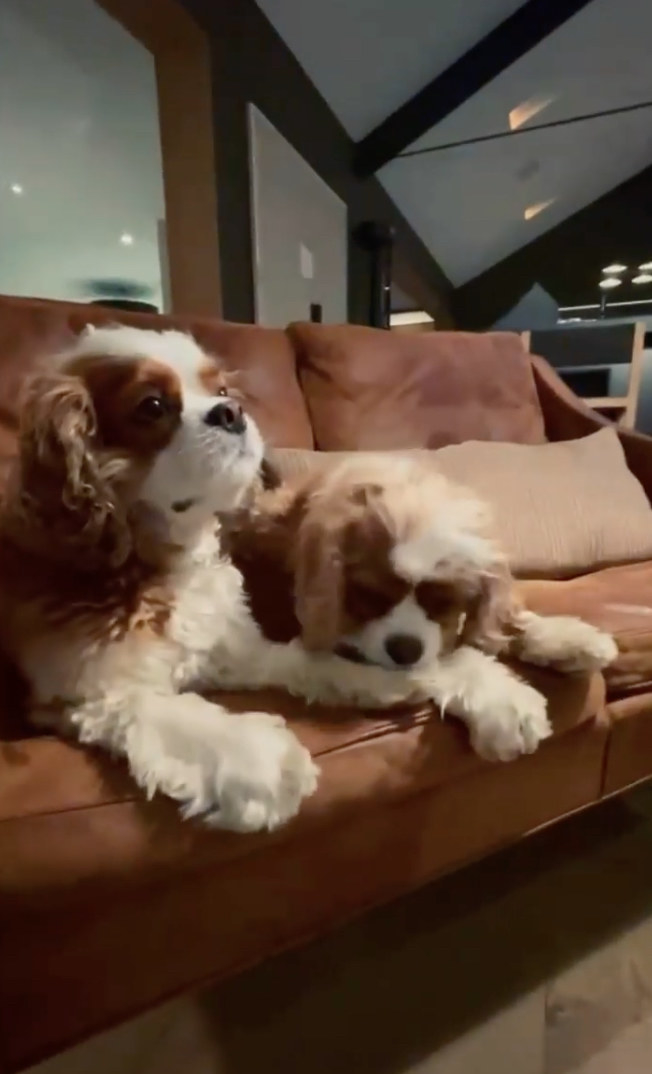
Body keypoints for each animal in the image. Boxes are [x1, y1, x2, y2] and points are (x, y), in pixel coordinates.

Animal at [223, 453, 618, 764]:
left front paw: (566, 638)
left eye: (443, 601)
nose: (405, 649)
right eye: (370, 596)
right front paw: (506, 705)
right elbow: (447, 661)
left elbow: (498, 621)